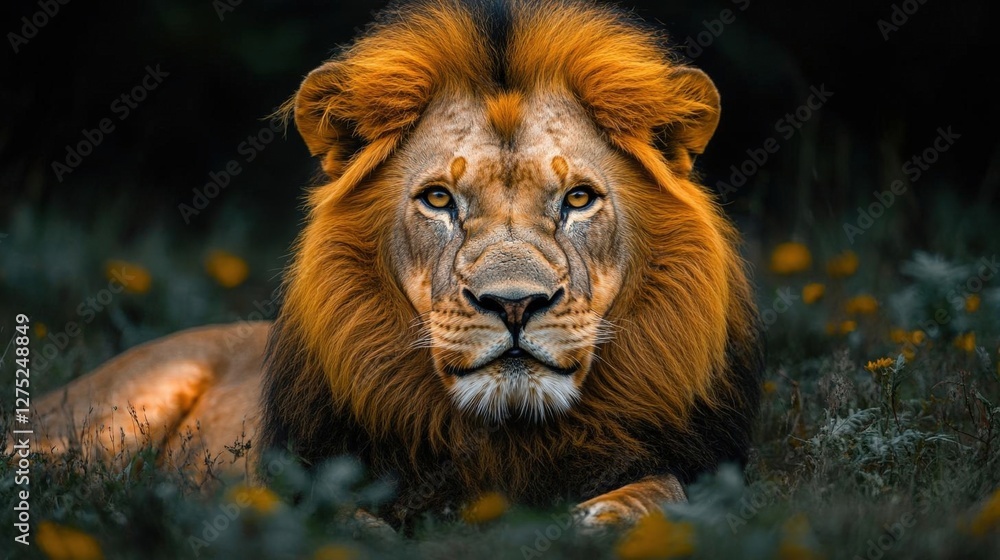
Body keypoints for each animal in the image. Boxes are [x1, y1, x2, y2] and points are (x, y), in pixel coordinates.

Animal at [31, 0, 763, 529]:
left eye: (578, 199)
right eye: (439, 199)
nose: (515, 304)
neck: (505, 438)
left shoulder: (694, 464)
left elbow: (666, 493)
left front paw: (601, 517)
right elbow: (340, 518)